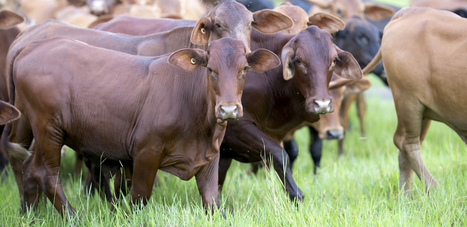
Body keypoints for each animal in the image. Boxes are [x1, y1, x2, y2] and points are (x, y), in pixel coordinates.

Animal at [2, 37, 282, 216]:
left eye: (244, 68)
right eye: (210, 69)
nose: (228, 109)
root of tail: (32, 46)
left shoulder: (209, 158)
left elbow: (212, 201)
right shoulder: (146, 151)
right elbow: (139, 196)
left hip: (26, 124)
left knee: (26, 167)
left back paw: (30, 214)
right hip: (49, 128)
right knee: (46, 174)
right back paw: (73, 217)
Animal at [218, 25, 364, 200]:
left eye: (334, 60)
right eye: (298, 60)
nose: (321, 103)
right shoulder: (234, 127)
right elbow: (279, 154)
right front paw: (296, 195)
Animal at [364, 5, 466, 193]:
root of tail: (411, 10)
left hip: (424, 110)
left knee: (408, 148)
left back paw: (406, 196)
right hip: (408, 100)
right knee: (406, 143)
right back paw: (435, 189)